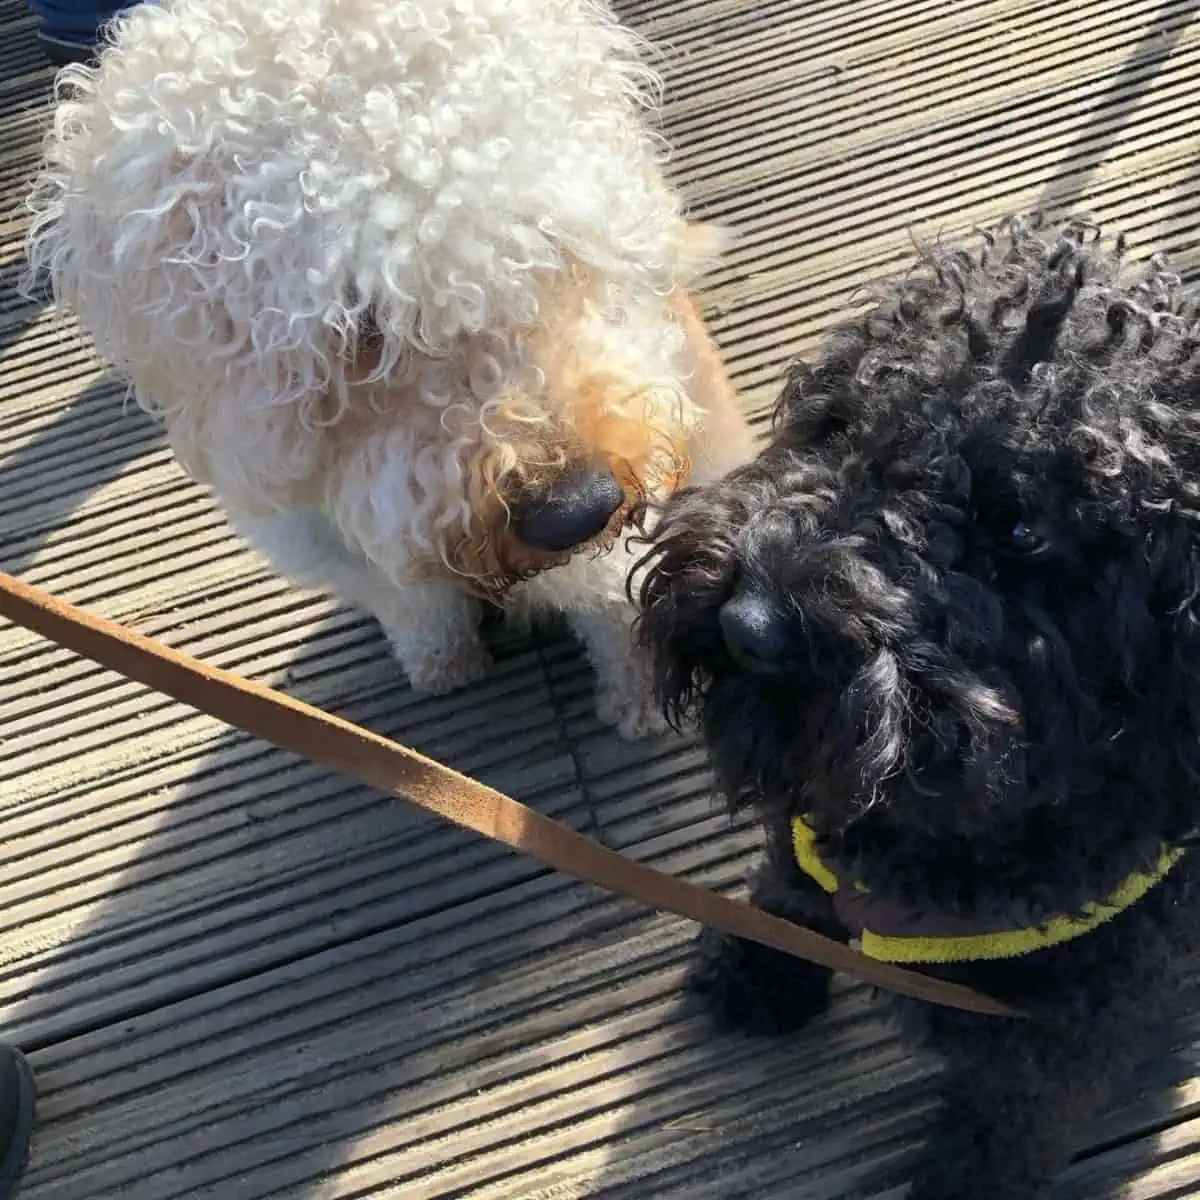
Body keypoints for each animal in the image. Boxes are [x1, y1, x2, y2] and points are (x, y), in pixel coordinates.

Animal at [28, 0, 748, 734]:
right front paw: (443, 666)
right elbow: (418, 610)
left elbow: (610, 606)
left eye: (539, 242)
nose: (576, 509)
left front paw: (637, 705)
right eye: (361, 325)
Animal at [643, 218, 1200, 1200]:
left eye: (1022, 529)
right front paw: (757, 965)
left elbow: (1012, 1122)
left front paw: (966, 1181)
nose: (751, 626)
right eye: (836, 426)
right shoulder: (810, 828)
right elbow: (790, 882)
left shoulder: (1070, 1032)